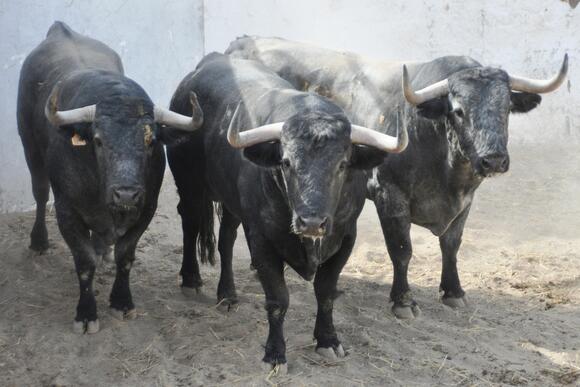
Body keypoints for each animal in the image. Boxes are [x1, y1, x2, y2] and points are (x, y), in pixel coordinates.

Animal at [17, 22, 202, 334]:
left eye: (151, 141)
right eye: (99, 140)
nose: (126, 194)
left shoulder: (145, 209)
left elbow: (125, 256)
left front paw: (122, 302)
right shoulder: (67, 211)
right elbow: (84, 263)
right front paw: (86, 314)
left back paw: (102, 249)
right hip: (29, 146)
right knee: (40, 193)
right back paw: (39, 241)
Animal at [165, 53, 406, 368]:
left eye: (342, 164)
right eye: (286, 162)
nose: (312, 222)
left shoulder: (345, 238)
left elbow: (326, 292)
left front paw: (328, 341)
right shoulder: (262, 240)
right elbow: (279, 299)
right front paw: (275, 353)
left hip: (231, 202)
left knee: (226, 239)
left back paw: (227, 295)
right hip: (189, 183)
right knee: (190, 222)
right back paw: (191, 280)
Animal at [225, 37, 568, 318]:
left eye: (507, 107)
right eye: (458, 110)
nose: (494, 159)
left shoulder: (466, 201)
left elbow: (452, 245)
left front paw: (454, 292)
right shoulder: (390, 196)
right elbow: (402, 250)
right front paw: (403, 301)